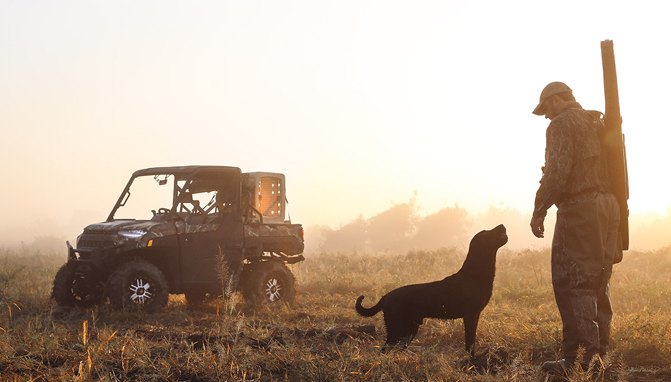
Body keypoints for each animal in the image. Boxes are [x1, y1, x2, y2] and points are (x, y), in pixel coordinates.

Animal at [354, 224, 506, 356]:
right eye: (487, 232)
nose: (502, 225)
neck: (475, 273)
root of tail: (386, 296)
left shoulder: (476, 315)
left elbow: (472, 339)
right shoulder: (470, 315)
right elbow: (470, 341)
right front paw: (471, 359)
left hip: (409, 329)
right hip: (398, 329)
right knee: (385, 349)